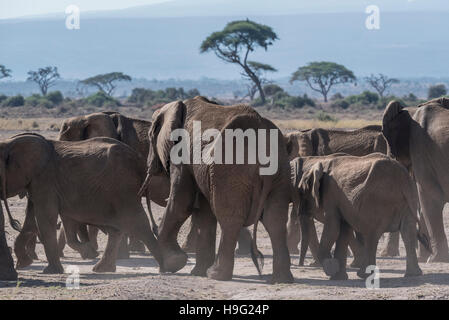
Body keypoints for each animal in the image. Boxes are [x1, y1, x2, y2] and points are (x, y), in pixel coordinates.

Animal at [4, 132, 162, 272]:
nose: (14, 223)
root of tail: (139, 161)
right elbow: (37, 220)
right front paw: (23, 264)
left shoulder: (45, 181)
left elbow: (45, 218)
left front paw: (51, 270)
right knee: (119, 226)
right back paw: (102, 268)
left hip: (124, 186)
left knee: (136, 220)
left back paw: (167, 265)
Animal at [140, 97, 294, 282]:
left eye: (150, 137)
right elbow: (203, 212)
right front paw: (194, 272)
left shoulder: (182, 154)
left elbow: (182, 202)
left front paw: (173, 264)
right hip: (280, 171)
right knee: (275, 220)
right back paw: (282, 279)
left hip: (231, 170)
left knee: (230, 219)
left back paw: (216, 275)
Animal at [294, 153, 430, 280]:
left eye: (301, 191)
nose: (302, 265)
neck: (320, 163)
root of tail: (402, 177)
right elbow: (344, 230)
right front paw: (338, 277)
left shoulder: (330, 195)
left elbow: (333, 228)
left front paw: (331, 268)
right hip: (408, 199)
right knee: (408, 233)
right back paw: (413, 274)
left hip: (376, 201)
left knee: (371, 235)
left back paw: (364, 275)